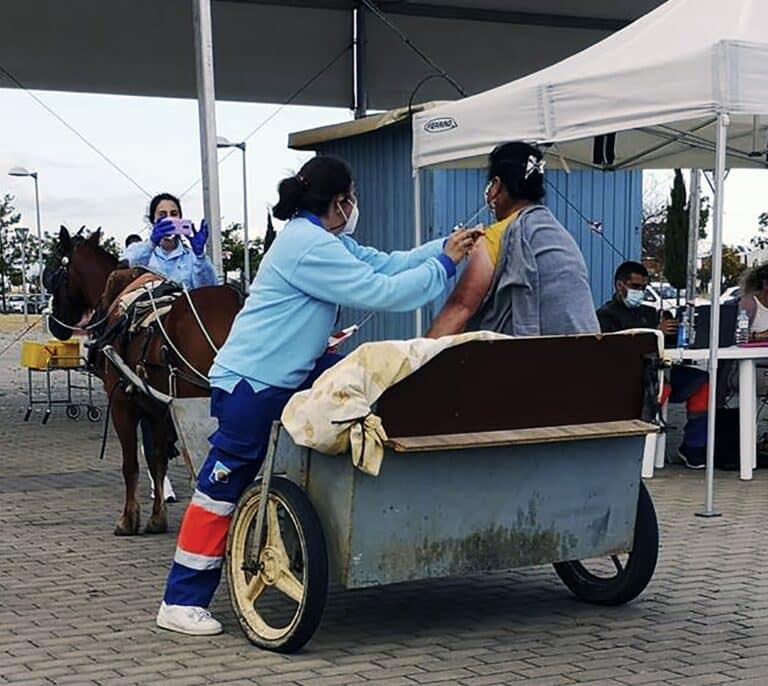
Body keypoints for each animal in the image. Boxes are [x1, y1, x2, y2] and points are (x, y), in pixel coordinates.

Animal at [46, 227, 243, 536]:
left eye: (55, 269)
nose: (55, 324)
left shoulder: (122, 405)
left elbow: (131, 463)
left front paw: (128, 519)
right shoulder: (160, 411)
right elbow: (157, 460)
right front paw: (157, 517)